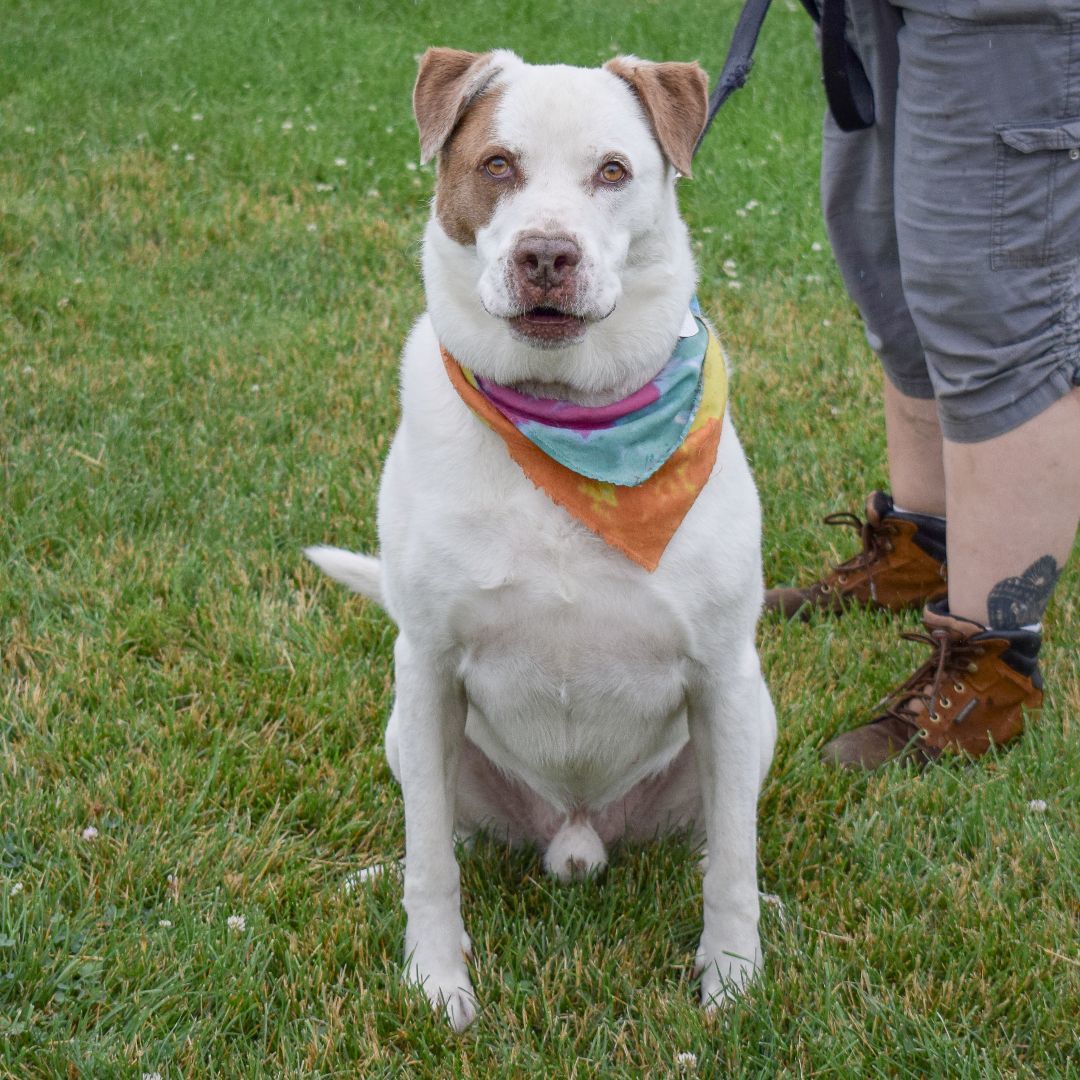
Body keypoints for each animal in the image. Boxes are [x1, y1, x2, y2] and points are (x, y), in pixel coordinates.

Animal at [311, 50, 777, 1028]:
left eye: (614, 171)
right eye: (497, 165)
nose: (546, 256)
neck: (569, 416)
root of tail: (577, 836)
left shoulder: (723, 670)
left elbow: (733, 861)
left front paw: (732, 976)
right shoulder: (427, 662)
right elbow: (430, 864)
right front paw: (435, 978)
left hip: (754, 719)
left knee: (715, 837)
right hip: (410, 733)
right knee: (446, 834)